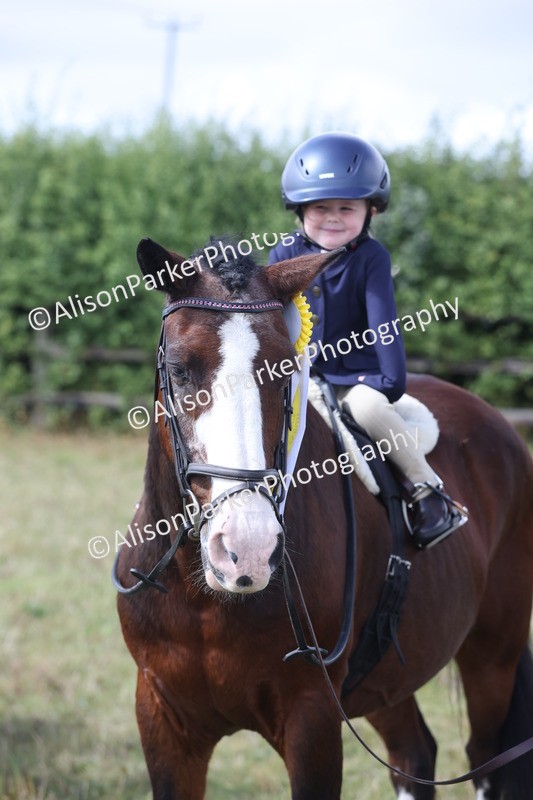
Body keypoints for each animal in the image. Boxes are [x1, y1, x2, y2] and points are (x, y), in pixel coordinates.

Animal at [115, 236, 533, 800]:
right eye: (180, 370)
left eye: (285, 372)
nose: (247, 549)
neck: (203, 599)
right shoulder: (162, 722)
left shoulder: (312, 719)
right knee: (414, 752)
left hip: (493, 656)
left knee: (485, 759)